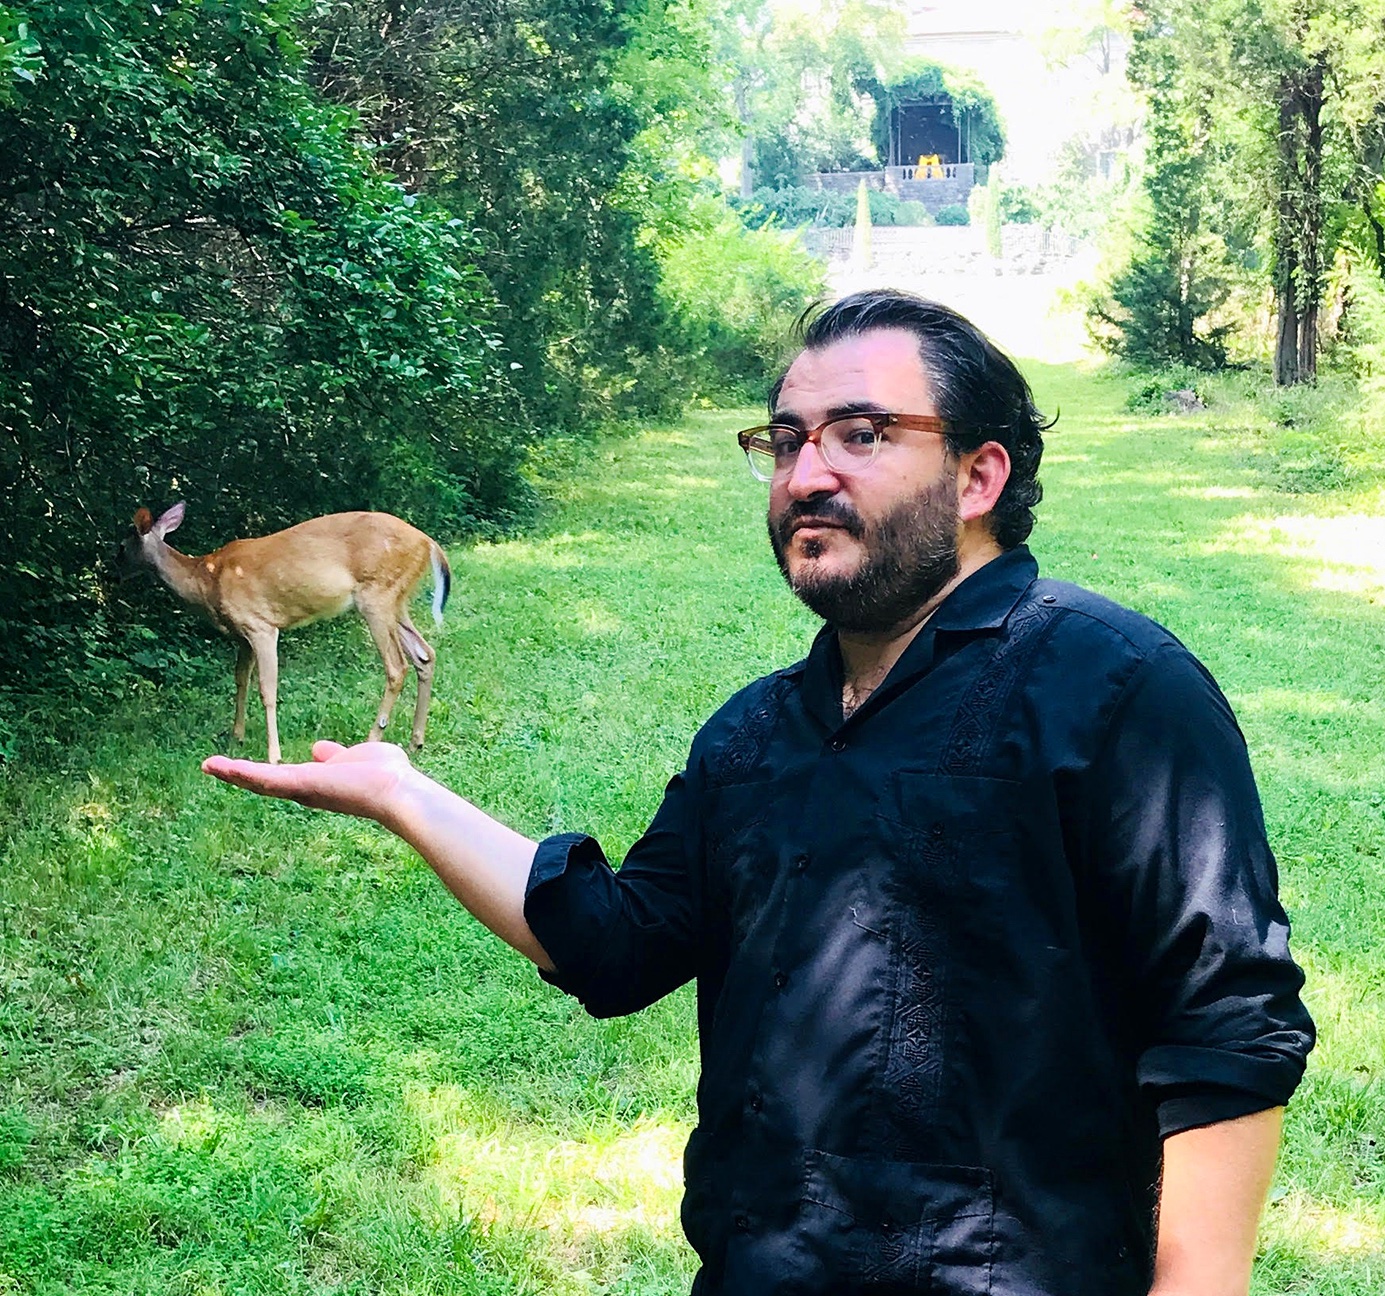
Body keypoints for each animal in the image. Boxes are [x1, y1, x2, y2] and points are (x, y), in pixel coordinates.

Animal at [118, 506, 451, 764]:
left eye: (121, 546)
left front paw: (274, 756)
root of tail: (428, 543)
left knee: (397, 666)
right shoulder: (243, 634)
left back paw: (372, 739)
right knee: (425, 654)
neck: (206, 579)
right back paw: (416, 741)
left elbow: (267, 689)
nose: (113, 570)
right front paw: (236, 736)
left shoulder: (261, 626)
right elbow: (241, 680)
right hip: (397, 600)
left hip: (377, 594)